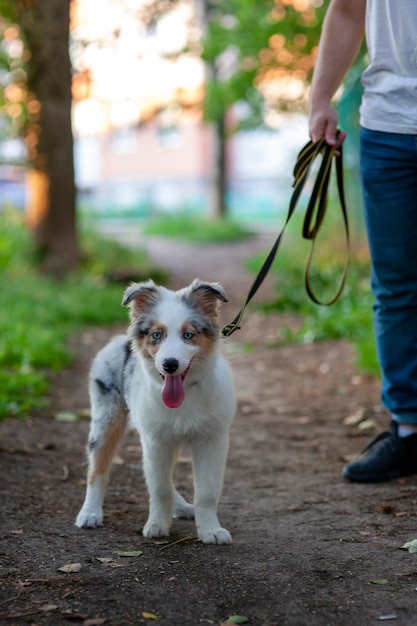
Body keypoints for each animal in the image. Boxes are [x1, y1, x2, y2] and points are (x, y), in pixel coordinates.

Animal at [75, 278, 236, 540]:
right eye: (156, 335)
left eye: (188, 335)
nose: (170, 364)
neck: (186, 394)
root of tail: (119, 342)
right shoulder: (156, 440)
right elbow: (160, 489)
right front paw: (157, 525)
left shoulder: (212, 439)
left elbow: (206, 492)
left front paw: (211, 530)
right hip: (106, 419)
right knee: (97, 468)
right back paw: (89, 513)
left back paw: (181, 507)